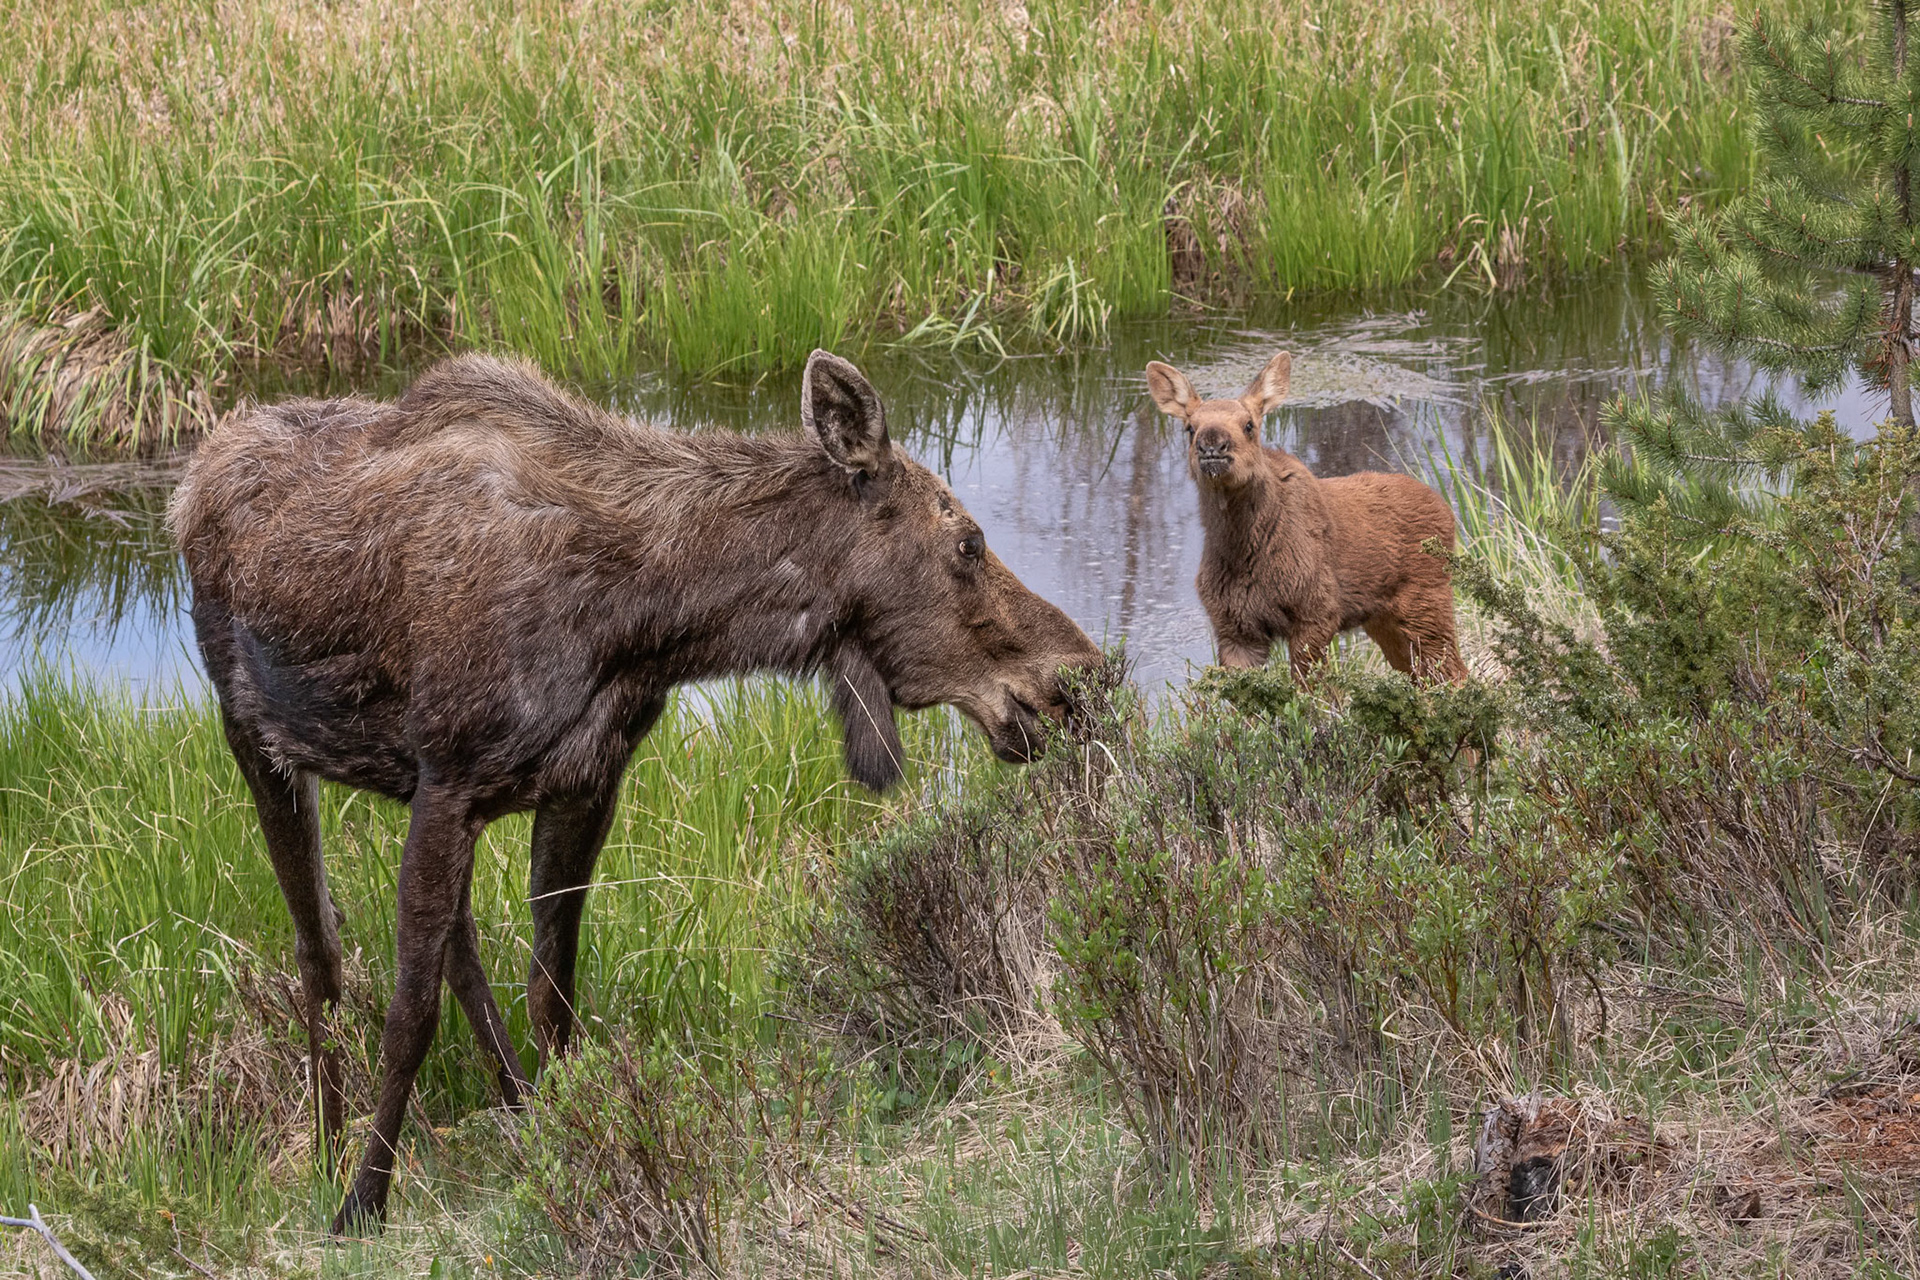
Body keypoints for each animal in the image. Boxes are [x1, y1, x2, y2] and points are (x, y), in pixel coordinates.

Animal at [168, 350, 1099, 1233]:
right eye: (968, 542)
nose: (1080, 676)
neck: (645, 621)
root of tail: (189, 482)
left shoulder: (581, 785)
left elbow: (550, 995)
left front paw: (568, 1146)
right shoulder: (450, 782)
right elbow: (407, 1015)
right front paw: (362, 1202)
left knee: (458, 949)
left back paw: (513, 1107)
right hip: (256, 738)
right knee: (318, 949)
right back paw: (331, 1145)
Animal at [1145, 350, 1468, 684]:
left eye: (1249, 425)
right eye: (1189, 427)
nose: (1212, 444)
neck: (1242, 551)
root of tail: (1448, 512)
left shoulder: (1316, 612)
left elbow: (1313, 692)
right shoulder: (1235, 629)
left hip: (1426, 604)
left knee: (1455, 674)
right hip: (1384, 620)